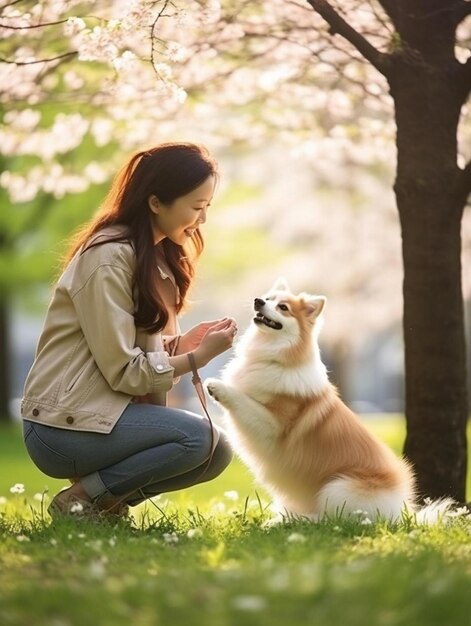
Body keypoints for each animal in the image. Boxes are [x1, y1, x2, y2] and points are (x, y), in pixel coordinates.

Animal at [206, 280, 416, 520]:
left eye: (283, 307)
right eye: (268, 299)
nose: (258, 301)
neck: (273, 359)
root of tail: (400, 509)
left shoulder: (274, 428)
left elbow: (244, 401)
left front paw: (217, 387)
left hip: (337, 487)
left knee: (332, 517)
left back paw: (294, 519)